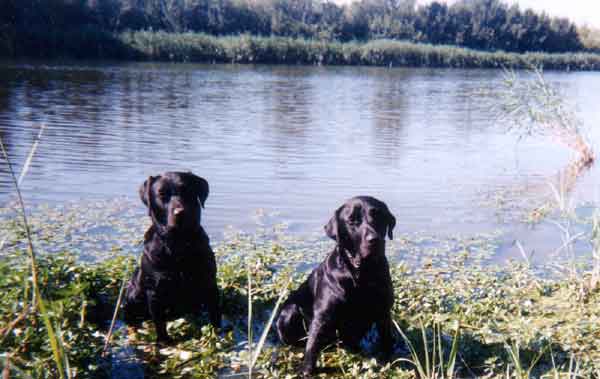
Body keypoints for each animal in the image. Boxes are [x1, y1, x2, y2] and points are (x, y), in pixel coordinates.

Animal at [123, 174, 221, 346]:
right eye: (162, 194)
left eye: (187, 190)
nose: (180, 212)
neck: (178, 245)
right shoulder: (154, 291)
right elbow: (159, 322)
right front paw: (164, 342)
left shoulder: (210, 283)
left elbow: (215, 314)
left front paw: (216, 336)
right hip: (134, 293)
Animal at [276, 196, 398, 378]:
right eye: (352, 221)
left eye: (378, 216)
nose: (374, 240)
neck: (362, 274)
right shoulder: (323, 315)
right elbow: (312, 345)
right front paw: (305, 370)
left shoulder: (384, 312)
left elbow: (387, 340)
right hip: (289, 311)